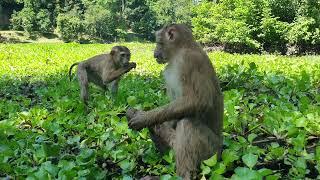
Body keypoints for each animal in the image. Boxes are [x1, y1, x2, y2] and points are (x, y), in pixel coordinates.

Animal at [126, 24, 224, 180]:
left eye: (159, 43)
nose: (155, 54)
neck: (179, 51)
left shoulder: (189, 61)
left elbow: (199, 101)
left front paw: (144, 117)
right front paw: (144, 117)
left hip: (211, 153)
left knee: (188, 124)